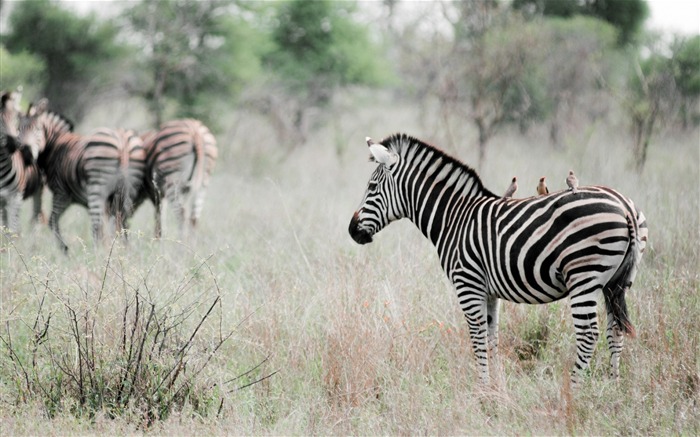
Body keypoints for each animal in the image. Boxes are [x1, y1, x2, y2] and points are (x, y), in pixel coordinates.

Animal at [0, 90, 43, 233]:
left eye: (14, 118)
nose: (13, 145)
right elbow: (5, 228)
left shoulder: (16, 196)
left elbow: (13, 229)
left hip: (39, 189)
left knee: (37, 217)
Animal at [18, 98, 146, 249]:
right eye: (18, 130)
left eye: (37, 129)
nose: (26, 152)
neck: (54, 145)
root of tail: (122, 140)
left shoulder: (61, 193)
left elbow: (52, 221)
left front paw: (64, 249)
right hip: (129, 190)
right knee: (123, 223)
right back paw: (124, 251)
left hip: (96, 186)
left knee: (97, 227)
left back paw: (96, 253)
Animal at [348, 134, 648, 384]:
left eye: (371, 186)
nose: (352, 231)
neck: (454, 218)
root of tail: (624, 207)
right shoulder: (489, 290)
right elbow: (492, 337)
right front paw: (496, 389)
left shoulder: (467, 283)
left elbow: (477, 337)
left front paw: (482, 391)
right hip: (617, 281)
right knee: (615, 330)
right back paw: (612, 387)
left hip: (584, 275)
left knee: (588, 334)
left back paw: (573, 391)